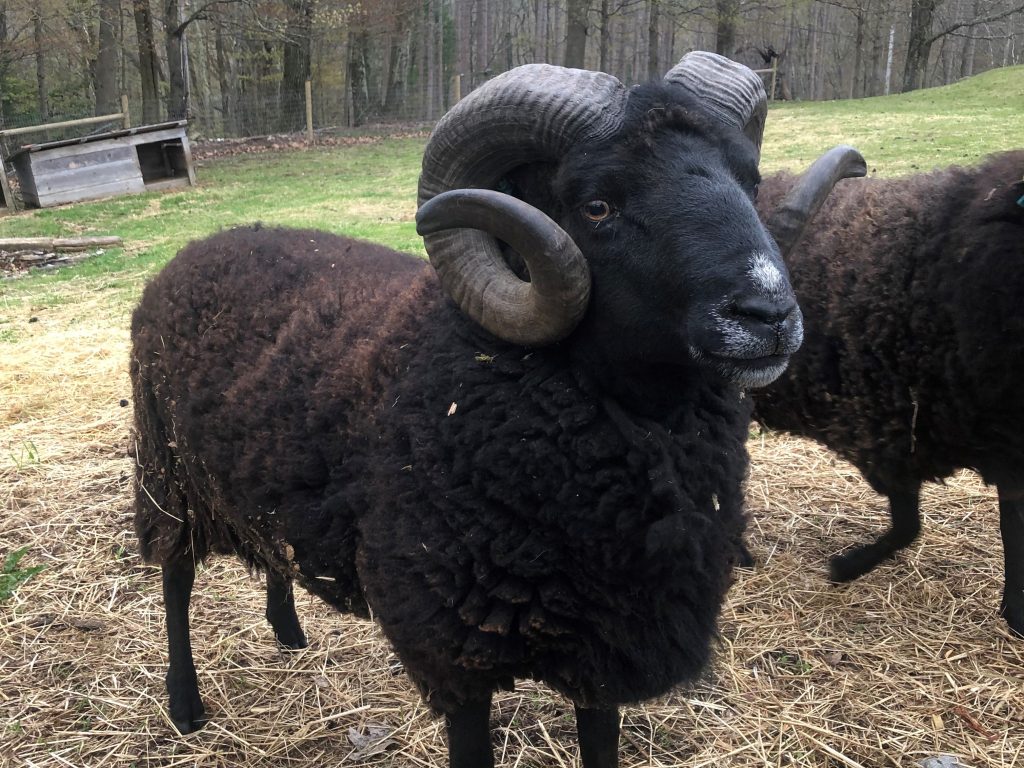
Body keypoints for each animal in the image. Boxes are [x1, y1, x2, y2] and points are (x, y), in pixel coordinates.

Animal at [131, 52, 864, 768]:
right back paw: (184, 705)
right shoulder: (451, 648)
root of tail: (199, 248)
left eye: (748, 179)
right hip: (167, 472)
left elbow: (601, 746)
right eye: (598, 205)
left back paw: (287, 631)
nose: (769, 314)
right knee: (174, 577)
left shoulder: (607, 646)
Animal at [753, 150, 1024, 637]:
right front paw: (844, 568)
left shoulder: (1002, 449)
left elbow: (1011, 529)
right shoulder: (885, 435)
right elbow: (907, 528)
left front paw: (1016, 616)